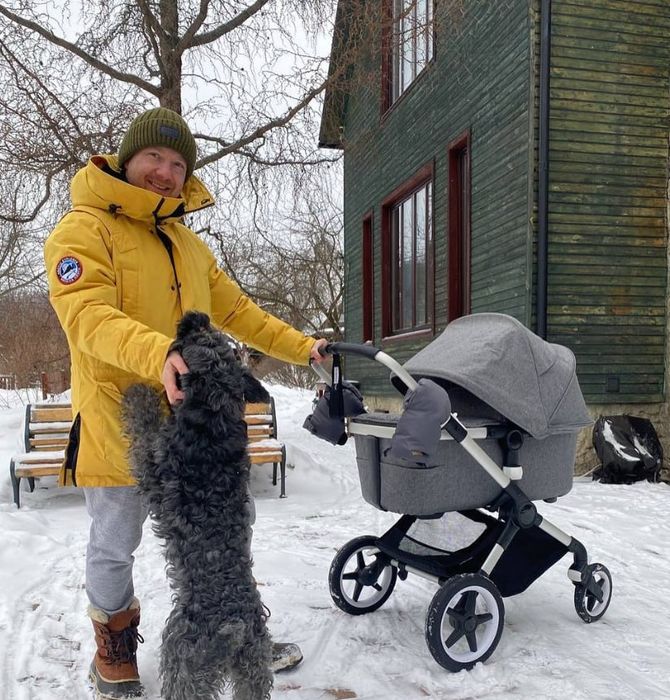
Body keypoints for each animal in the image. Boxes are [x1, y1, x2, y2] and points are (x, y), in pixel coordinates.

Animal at [122, 312, 274, 700]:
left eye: (200, 336)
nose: (196, 316)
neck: (212, 416)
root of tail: (233, 626)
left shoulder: (151, 469)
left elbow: (142, 426)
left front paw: (138, 394)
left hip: (182, 660)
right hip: (253, 671)